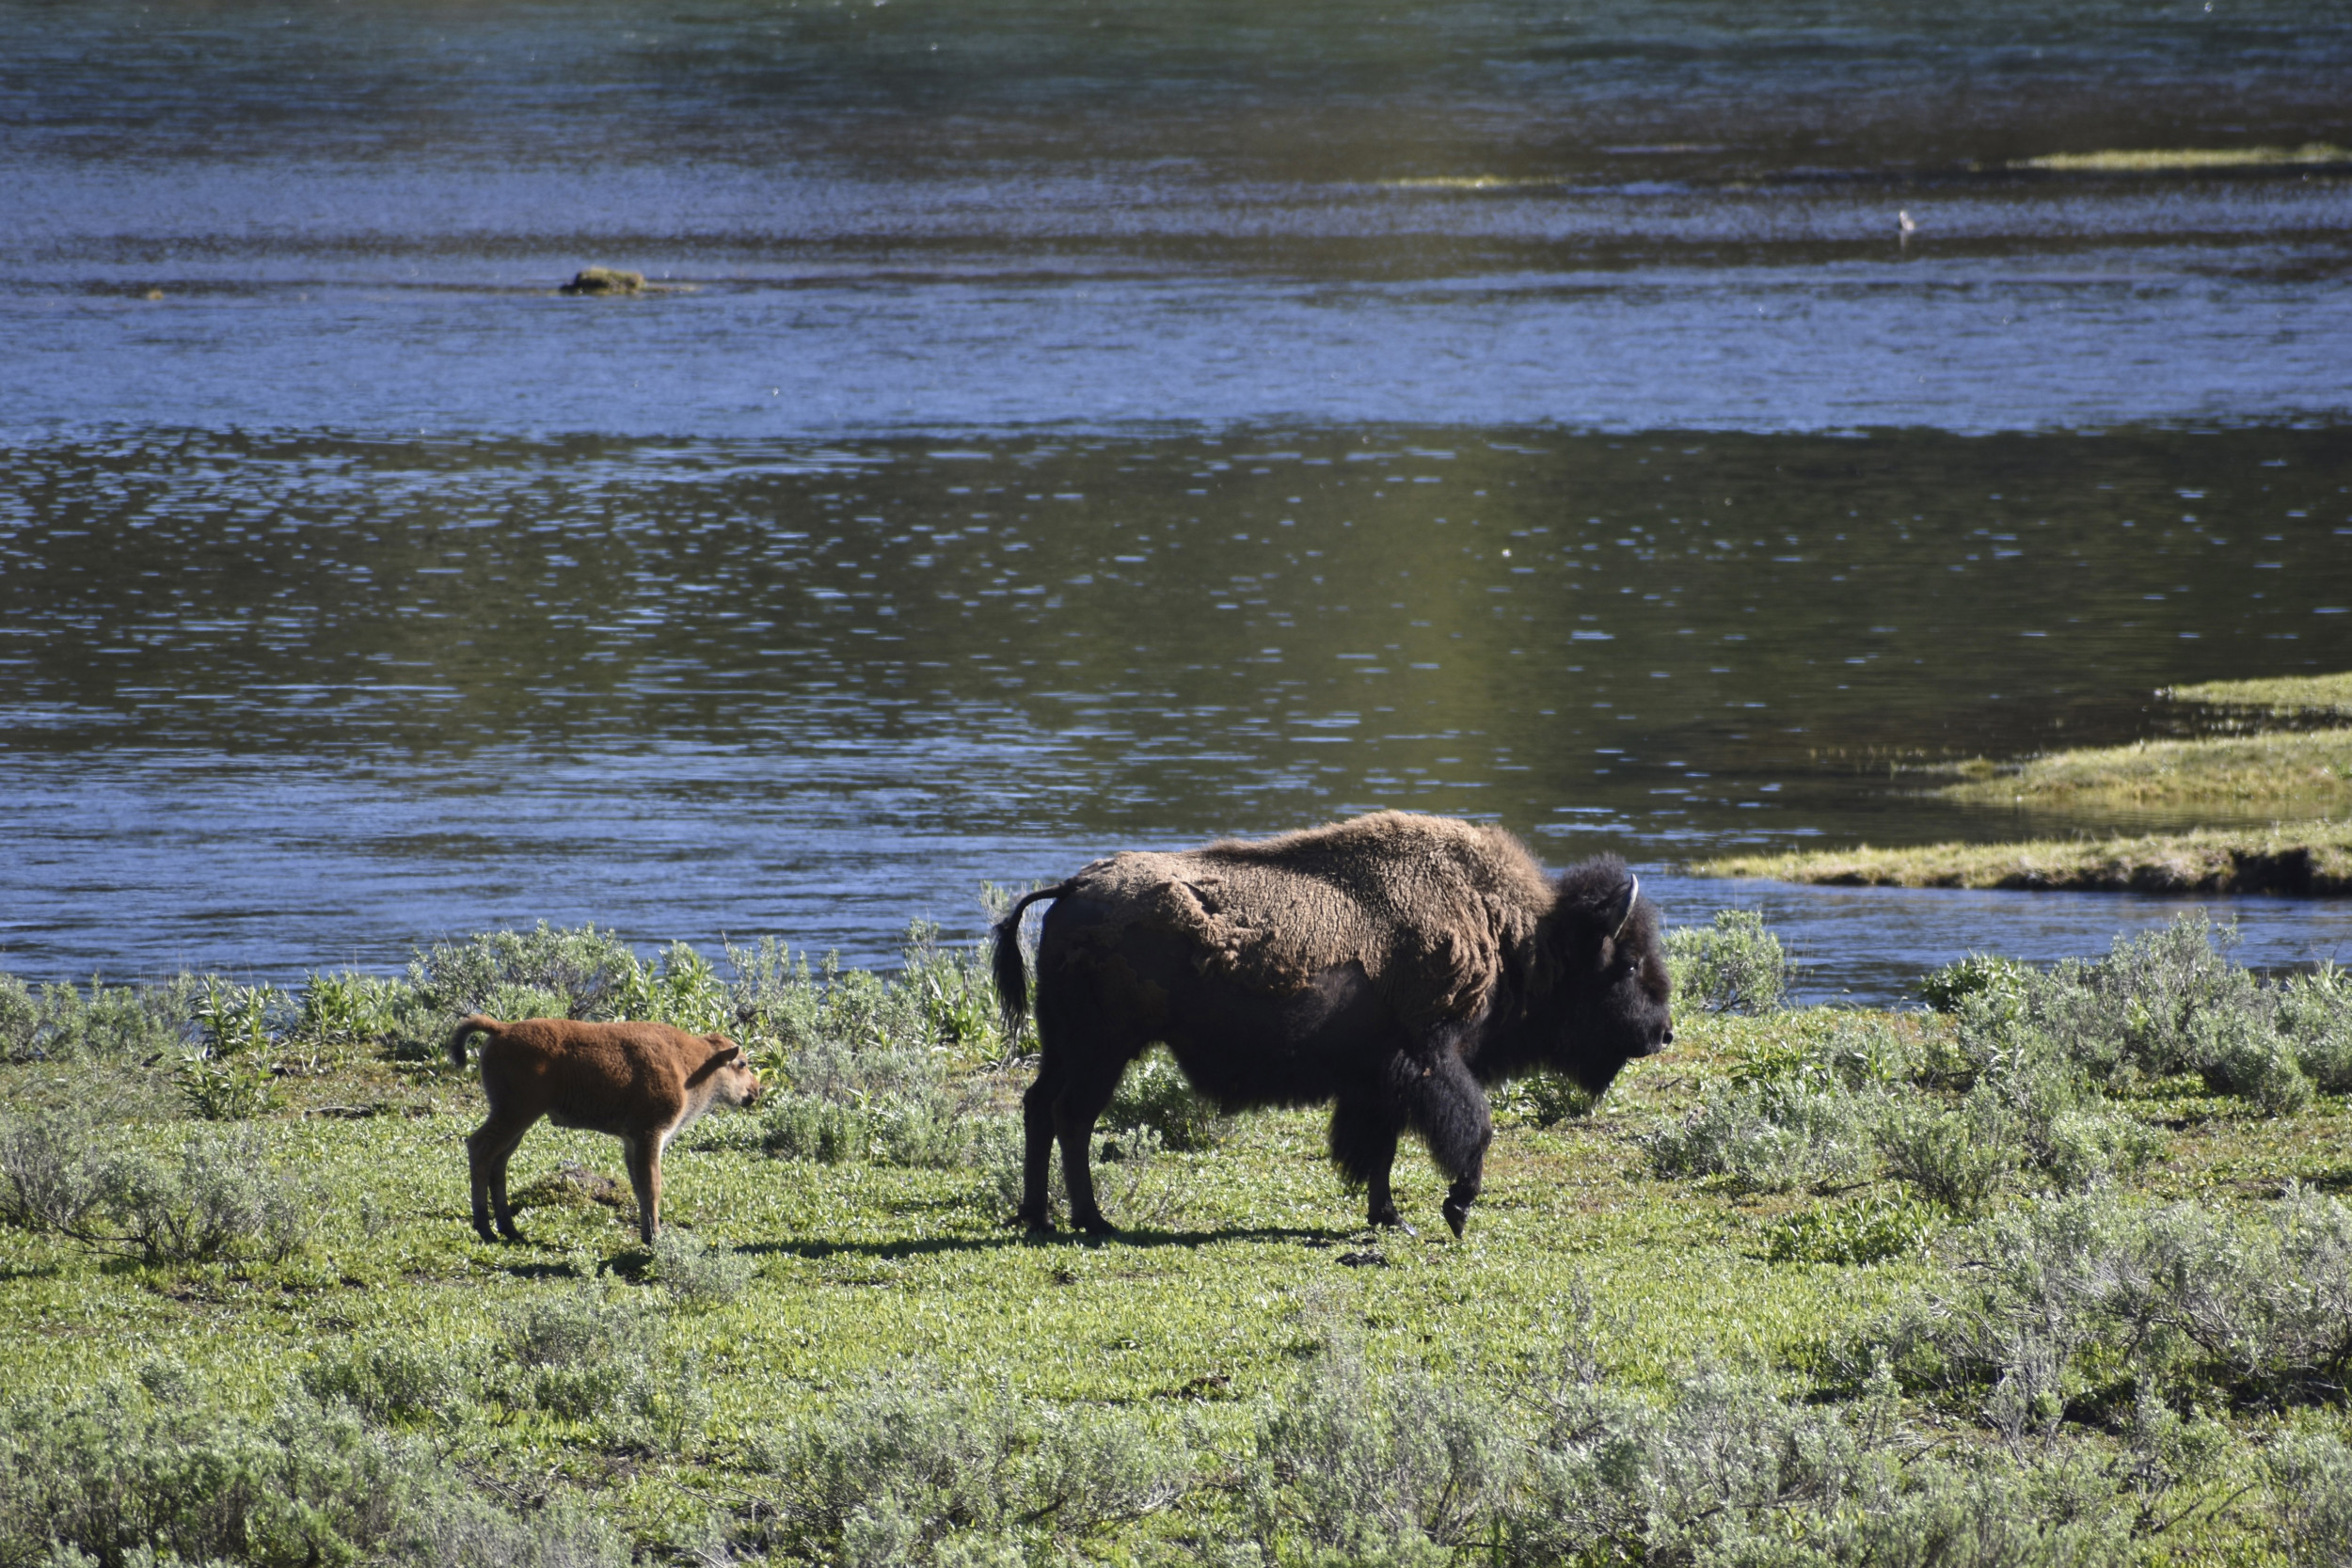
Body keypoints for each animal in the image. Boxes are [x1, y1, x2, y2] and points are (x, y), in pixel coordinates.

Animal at [449, 1020, 762, 1250]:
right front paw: (656, 1239)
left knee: (499, 1161)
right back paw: (486, 1229)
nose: (757, 1090)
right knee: (480, 1147)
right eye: (742, 1063)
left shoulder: (632, 1141)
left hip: (519, 1121)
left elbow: (639, 1187)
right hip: (515, 1114)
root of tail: (501, 1028)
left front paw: (648, 1235)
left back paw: (510, 1230)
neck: (692, 1064)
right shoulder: (650, 1135)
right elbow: (652, 1186)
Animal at [993, 808, 1675, 1241]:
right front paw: (1454, 1209)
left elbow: (1381, 1149)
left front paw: (1391, 1218)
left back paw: (1038, 1216)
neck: (1514, 934)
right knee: (1073, 1117)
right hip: (1101, 1050)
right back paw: (1091, 1220)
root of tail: (1073, 887)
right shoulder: (1431, 1060)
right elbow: (1471, 1129)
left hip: (1066, 1047)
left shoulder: (1379, 1081)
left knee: (1039, 1107)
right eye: (1627, 963)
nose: (1663, 1033)